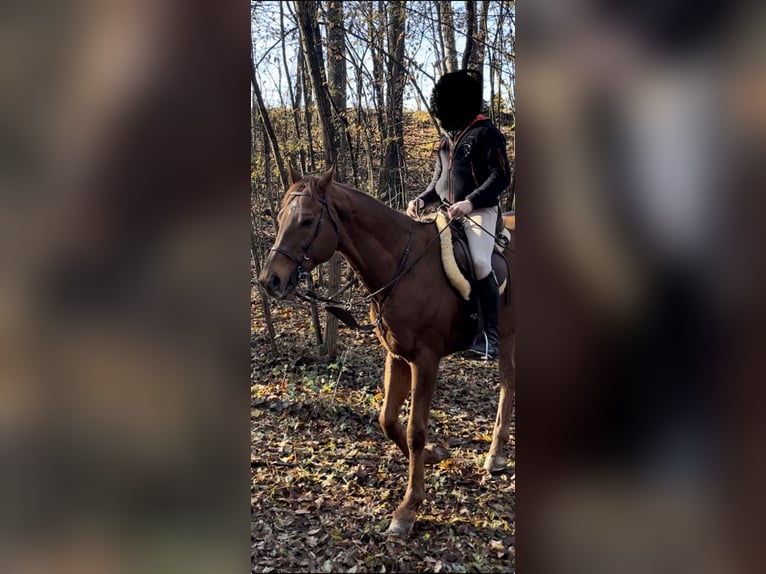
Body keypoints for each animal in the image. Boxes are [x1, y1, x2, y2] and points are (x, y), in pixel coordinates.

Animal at [259, 165, 515, 535]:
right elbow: (388, 420)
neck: (402, 266)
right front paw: (435, 454)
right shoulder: (397, 356)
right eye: (279, 218)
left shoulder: (426, 361)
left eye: (306, 220)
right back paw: (496, 454)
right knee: (509, 386)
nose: (270, 280)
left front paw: (408, 509)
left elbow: (415, 430)